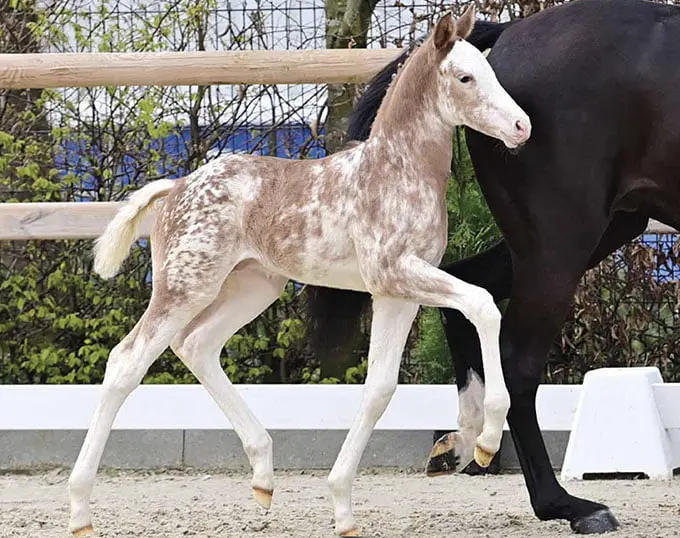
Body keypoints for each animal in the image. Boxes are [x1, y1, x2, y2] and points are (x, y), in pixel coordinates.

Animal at [66, 8, 531, 537]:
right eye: (465, 77)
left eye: (488, 67)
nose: (521, 126)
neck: (395, 171)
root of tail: (176, 187)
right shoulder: (396, 274)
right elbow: (483, 305)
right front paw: (487, 440)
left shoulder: (396, 293)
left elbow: (380, 388)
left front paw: (343, 507)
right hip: (185, 287)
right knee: (126, 362)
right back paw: (79, 509)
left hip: (252, 288)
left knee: (197, 345)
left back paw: (264, 477)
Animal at [303, 0, 680, 534]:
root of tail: (511, 33)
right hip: (559, 242)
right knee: (518, 363)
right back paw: (566, 505)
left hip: (598, 230)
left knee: (469, 292)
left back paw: (463, 443)